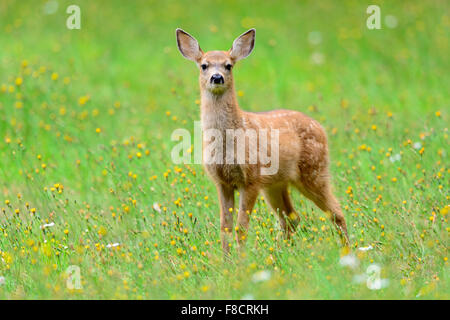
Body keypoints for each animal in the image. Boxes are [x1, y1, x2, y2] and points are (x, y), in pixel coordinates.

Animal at [178, 27, 350, 254]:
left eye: (228, 65)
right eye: (204, 65)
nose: (217, 77)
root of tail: (321, 128)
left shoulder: (251, 178)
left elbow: (241, 227)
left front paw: (240, 260)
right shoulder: (222, 181)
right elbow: (225, 227)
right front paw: (226, 259)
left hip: (314, 171)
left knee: (336, 211)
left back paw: (348, 249)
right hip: (276, 184)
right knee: (292, 218)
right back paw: (279, 253)